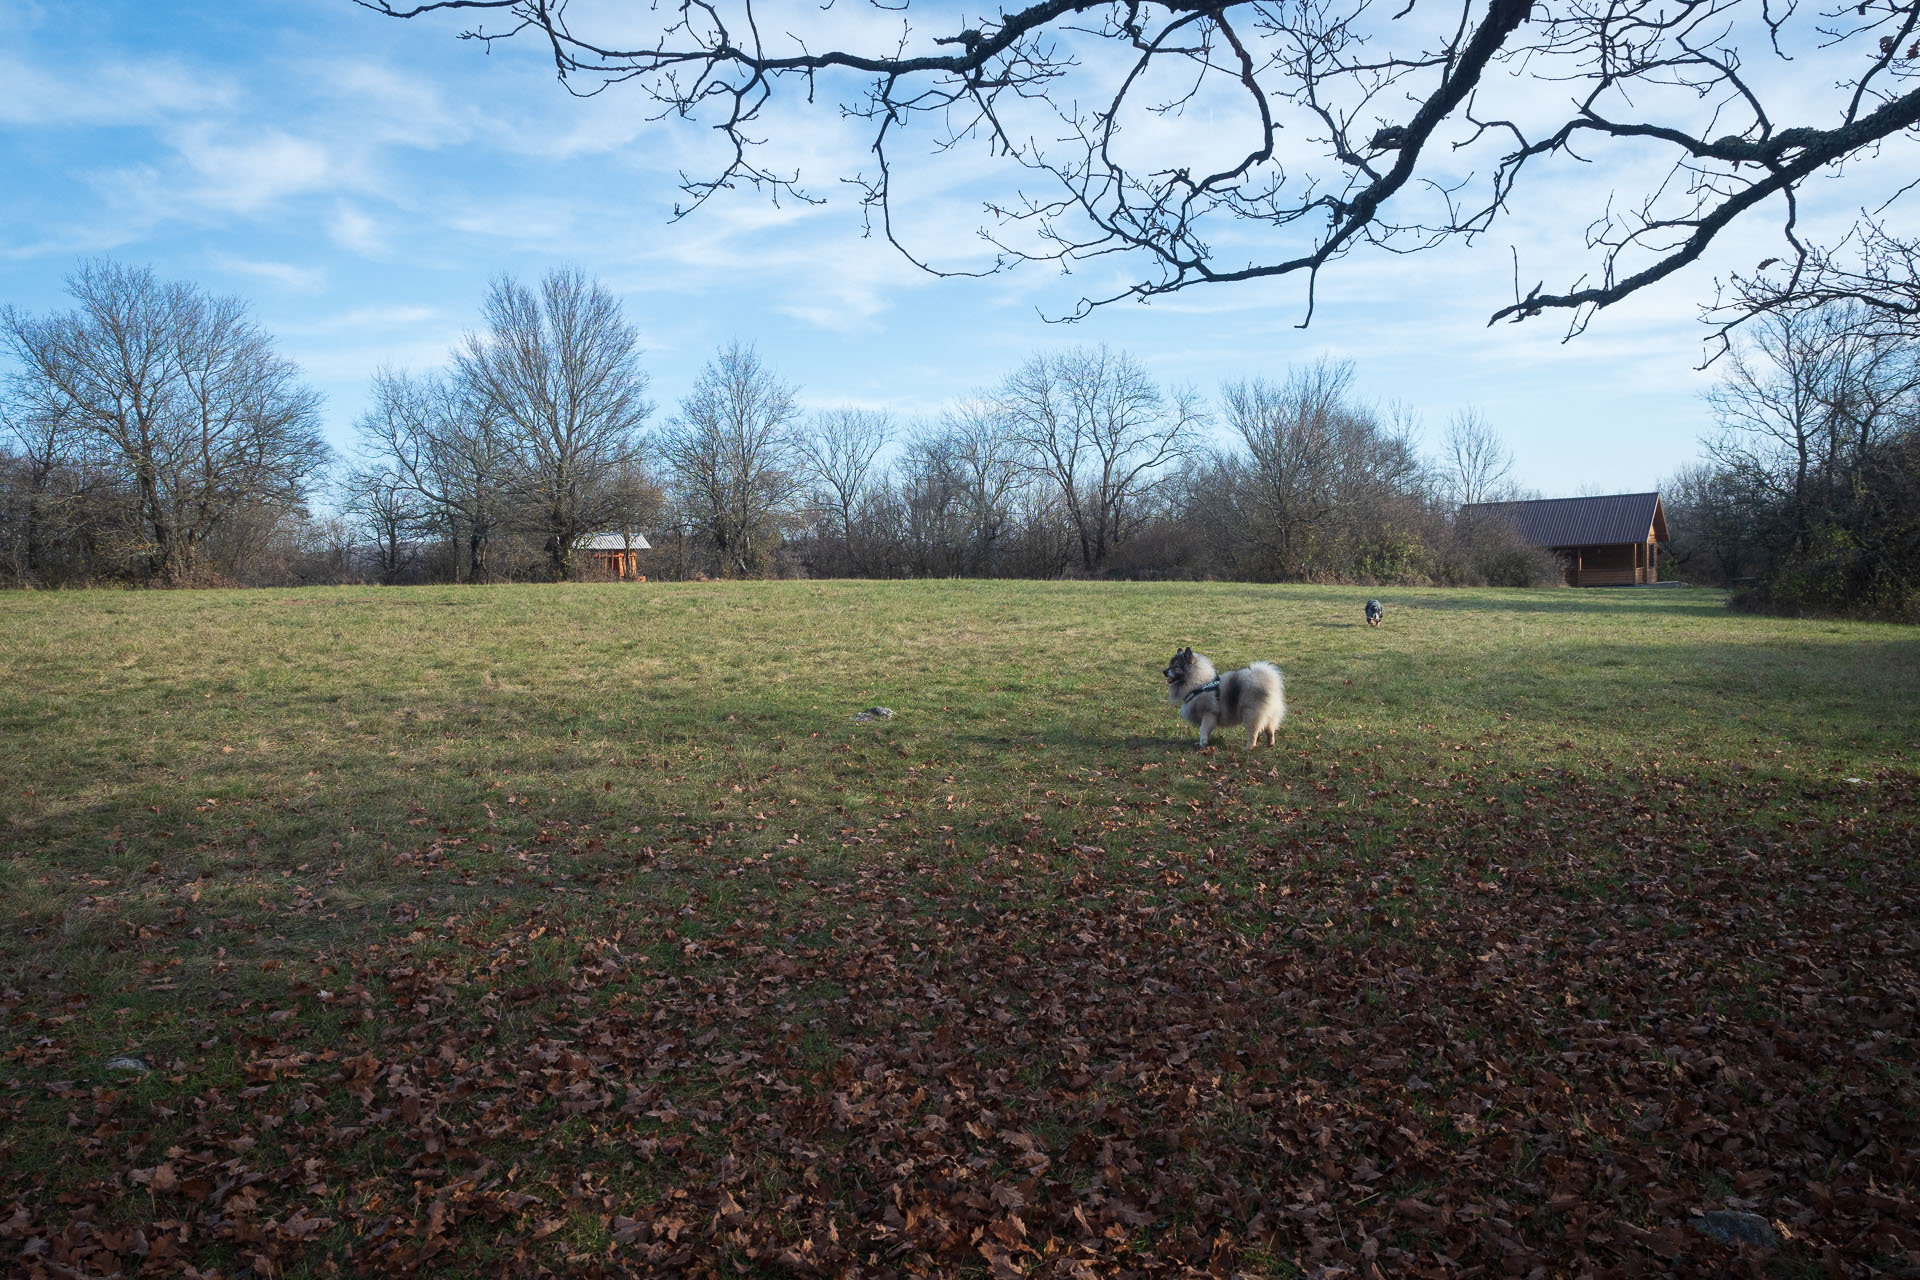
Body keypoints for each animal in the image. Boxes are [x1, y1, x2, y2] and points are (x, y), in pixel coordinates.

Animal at [1152, 652, 1290, 752]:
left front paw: (1202, 744)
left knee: (1253, 733)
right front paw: (1205, 742)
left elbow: (1203, 729)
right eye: (1170, 665)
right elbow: (1207, 731)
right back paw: (1270, 744)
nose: (1164, 671)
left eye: (1176, 666)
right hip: (1269, 715)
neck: (1197, 683)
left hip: (1251, 715)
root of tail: (1268, 682)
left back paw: (1248, 748)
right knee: (1270, 730)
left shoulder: (1208, 714)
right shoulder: (1210, 718)